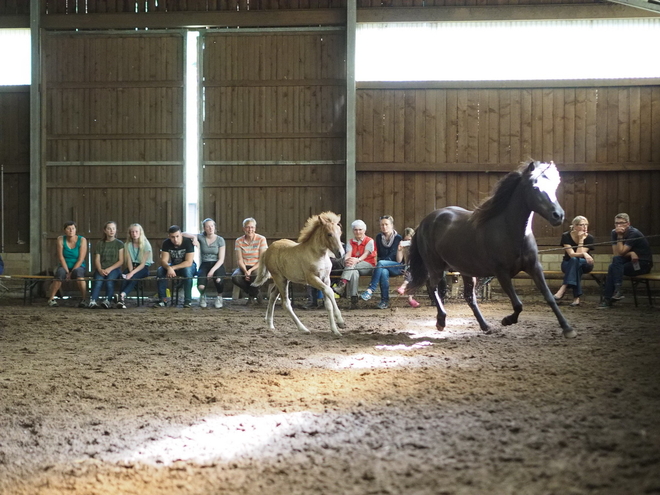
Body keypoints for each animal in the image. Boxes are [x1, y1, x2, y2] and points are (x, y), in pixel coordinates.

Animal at [404, 161, 576, 340]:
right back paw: (441, 321)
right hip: (436, 267)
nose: (558, 215)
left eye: (554, 186)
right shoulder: (502, 273)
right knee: (433, 288)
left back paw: (485, 326)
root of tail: (425, 221)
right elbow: (518, 304)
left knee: (469, 297)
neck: (510, 231)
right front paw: (507, 320)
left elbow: (549, 297)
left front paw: (567, 328)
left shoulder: (534, 267)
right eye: (535, 187)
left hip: (465, 270)